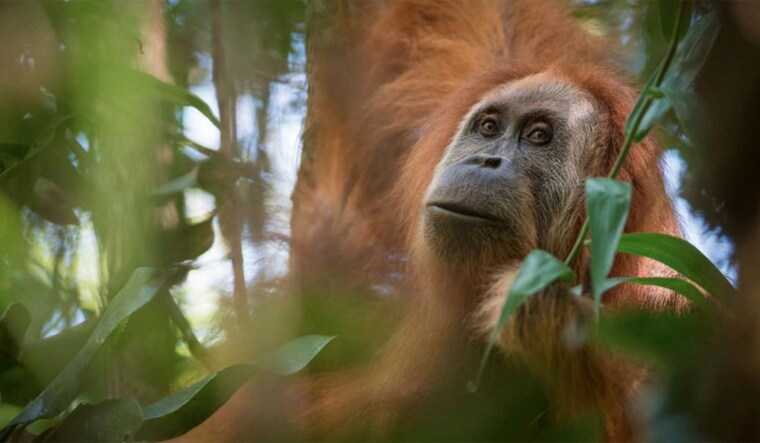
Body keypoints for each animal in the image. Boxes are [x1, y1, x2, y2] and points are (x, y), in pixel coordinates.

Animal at [171, 1, 687, 441]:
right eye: (489, 127)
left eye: (539, 136)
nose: (485, 161)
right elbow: (482, 22)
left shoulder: (663, 301)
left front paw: (547, 318)